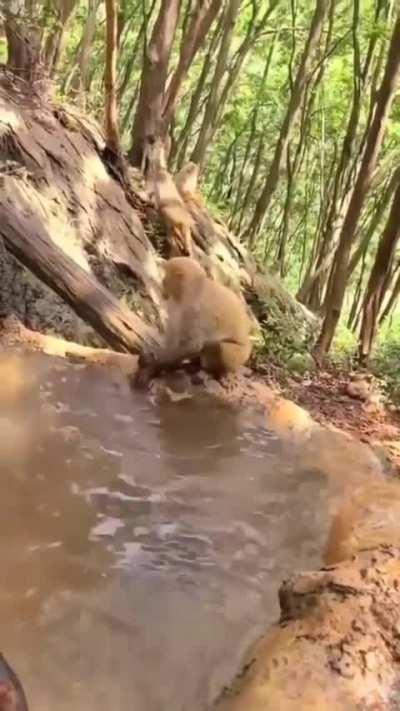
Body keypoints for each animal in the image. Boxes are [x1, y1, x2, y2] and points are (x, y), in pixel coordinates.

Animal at [134, 257, 253, 385]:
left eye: (164, 281)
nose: (163, 291)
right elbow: (174, 334)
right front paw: (153, 367)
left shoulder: (195, 309)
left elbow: (193, 345)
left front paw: (151, 359)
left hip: (240, 355)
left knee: (218, 347)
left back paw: (209, 371)